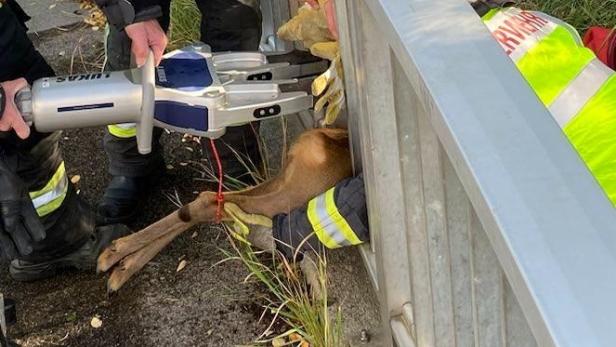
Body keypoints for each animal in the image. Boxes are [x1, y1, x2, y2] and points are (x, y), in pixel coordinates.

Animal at [98, 127, 354, 290]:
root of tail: (329, 135)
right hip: (301, 191)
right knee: (211, 204)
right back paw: (119, 257)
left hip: (287, 180)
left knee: (209, 199)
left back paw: (119, 258)